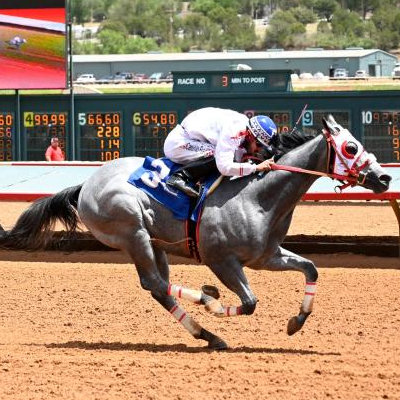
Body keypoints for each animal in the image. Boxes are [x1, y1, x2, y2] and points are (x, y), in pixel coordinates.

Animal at [0, 115, 390, 346]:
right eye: (351, 147)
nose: (384, 177)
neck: (258, 195)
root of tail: (85, 185)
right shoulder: (222, 260)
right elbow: (249, 303)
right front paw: (216, 302)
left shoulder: (267, 256)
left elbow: (311, 269)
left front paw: (297, 320)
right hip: (133, 233)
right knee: (155, 284)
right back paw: (207, 306)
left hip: (154, 241)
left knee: (158, 287)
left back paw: (207, 331)